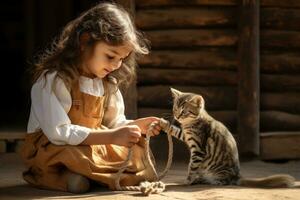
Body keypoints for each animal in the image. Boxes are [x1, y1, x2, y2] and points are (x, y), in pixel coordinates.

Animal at [162, 88, 296, 187]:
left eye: (184, 111)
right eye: (175, 109)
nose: (177, 116)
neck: (190, 123)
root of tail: (237, 176)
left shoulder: (198, 149)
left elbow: (192, 167)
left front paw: (188, 180)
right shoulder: (186, 137)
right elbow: (178, 132)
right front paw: (164, 125)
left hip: (217, 171)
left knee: (223, 182)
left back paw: (206, 180)